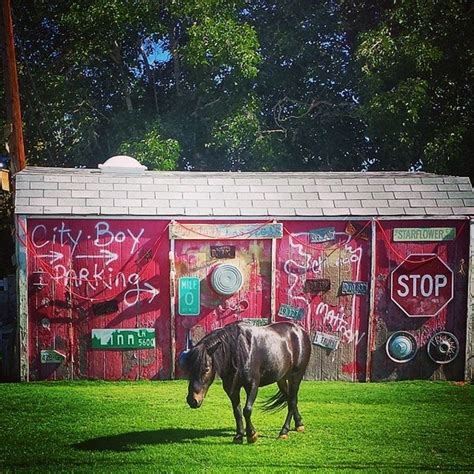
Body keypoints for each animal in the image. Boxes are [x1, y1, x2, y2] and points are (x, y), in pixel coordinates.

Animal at [178, 320, 312, 442]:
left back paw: (284, 432)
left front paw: (252, 435)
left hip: (295, 376)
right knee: (290, 399)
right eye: (189, 369)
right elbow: (237, 411)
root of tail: (301, 331)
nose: (193, 400)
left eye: (206, 369)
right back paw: (299, 424)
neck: (239, 351)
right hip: (281, 379)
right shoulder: (231, 388)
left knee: (292, 401)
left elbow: (247, 410)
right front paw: (239, 435)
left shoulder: (252, 385)